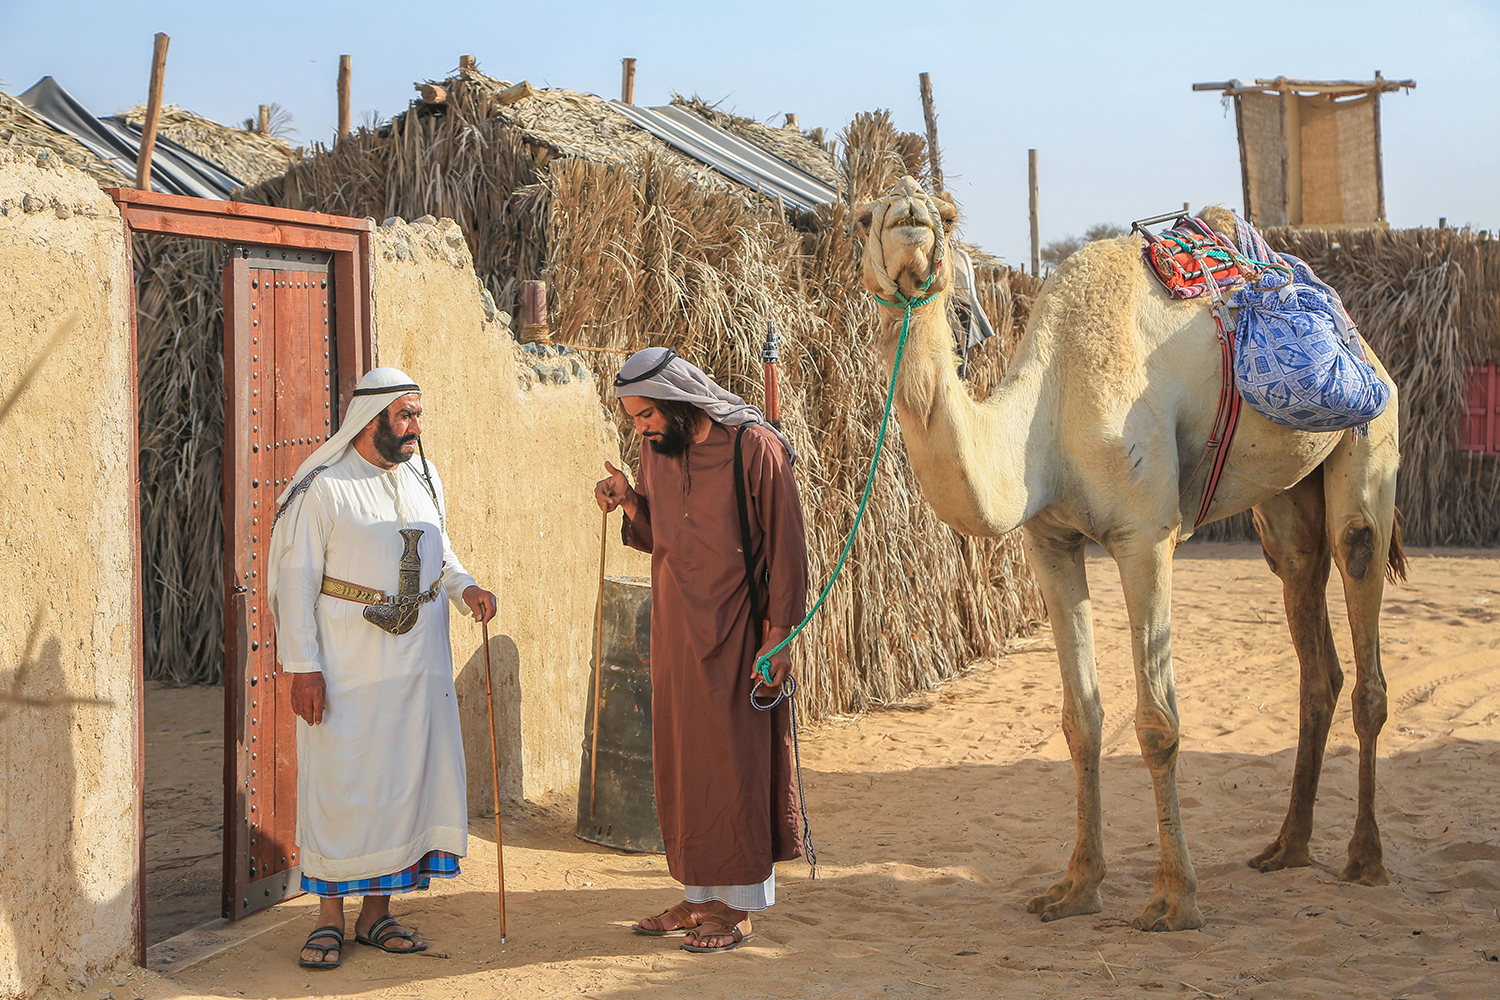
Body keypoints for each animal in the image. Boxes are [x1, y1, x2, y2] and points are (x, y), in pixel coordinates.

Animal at [858, 177, 1404, 929]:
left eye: (944, 214)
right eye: (862, 217)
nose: (908, 212)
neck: (1047, 413)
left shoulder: (1145, 536)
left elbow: (1157, 724)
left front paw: (1175, 899)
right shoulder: (1051, 542)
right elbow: (1080, 720)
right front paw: (1075, 886)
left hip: (1371, 436)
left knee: (1360, 576)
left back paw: (1365, 859)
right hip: (1287, 502)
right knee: (1312, 641)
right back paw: (1287, 847)